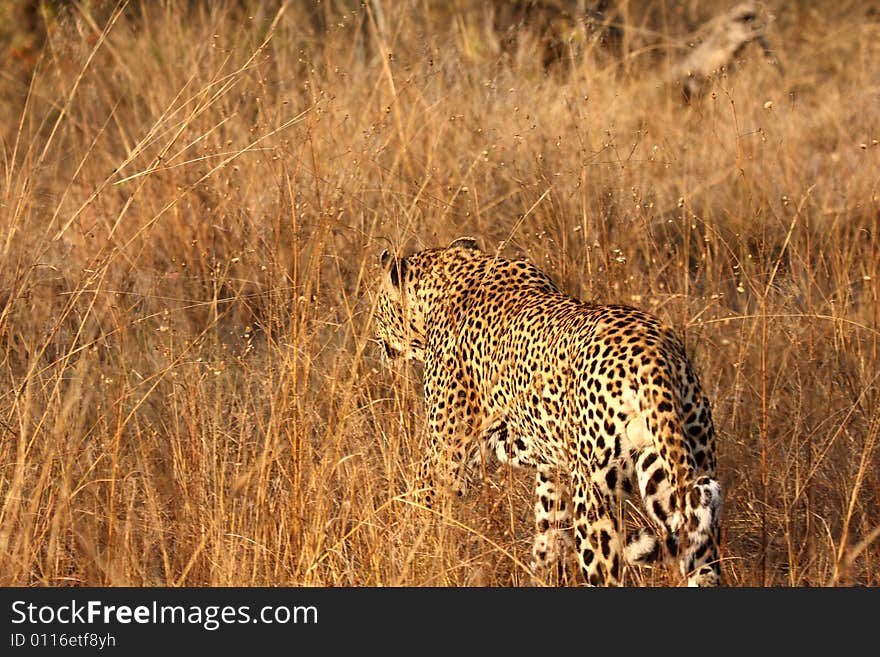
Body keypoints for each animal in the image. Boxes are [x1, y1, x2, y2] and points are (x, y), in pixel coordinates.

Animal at [372, 237, 720, 584]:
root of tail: (654, 355)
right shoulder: (553, 468)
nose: (375, 339)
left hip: (596, 492)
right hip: (675, 466)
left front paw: (410, 555)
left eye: (378, 307)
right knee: (700, 550)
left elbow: (421, 507)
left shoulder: (446, 454)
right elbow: (549, 530)